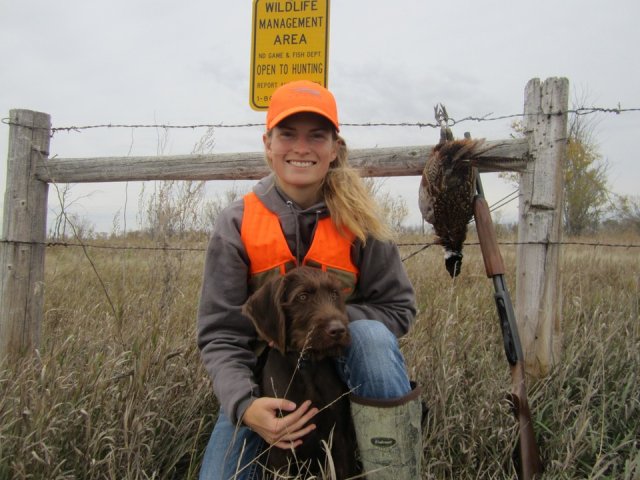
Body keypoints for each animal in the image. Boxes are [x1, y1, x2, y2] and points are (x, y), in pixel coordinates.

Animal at [242, 268, 360, 478]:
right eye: (302, 297)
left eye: (334, 294)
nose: (338, 330)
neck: (306, 364)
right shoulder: (281, 445)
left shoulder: (340, 437)